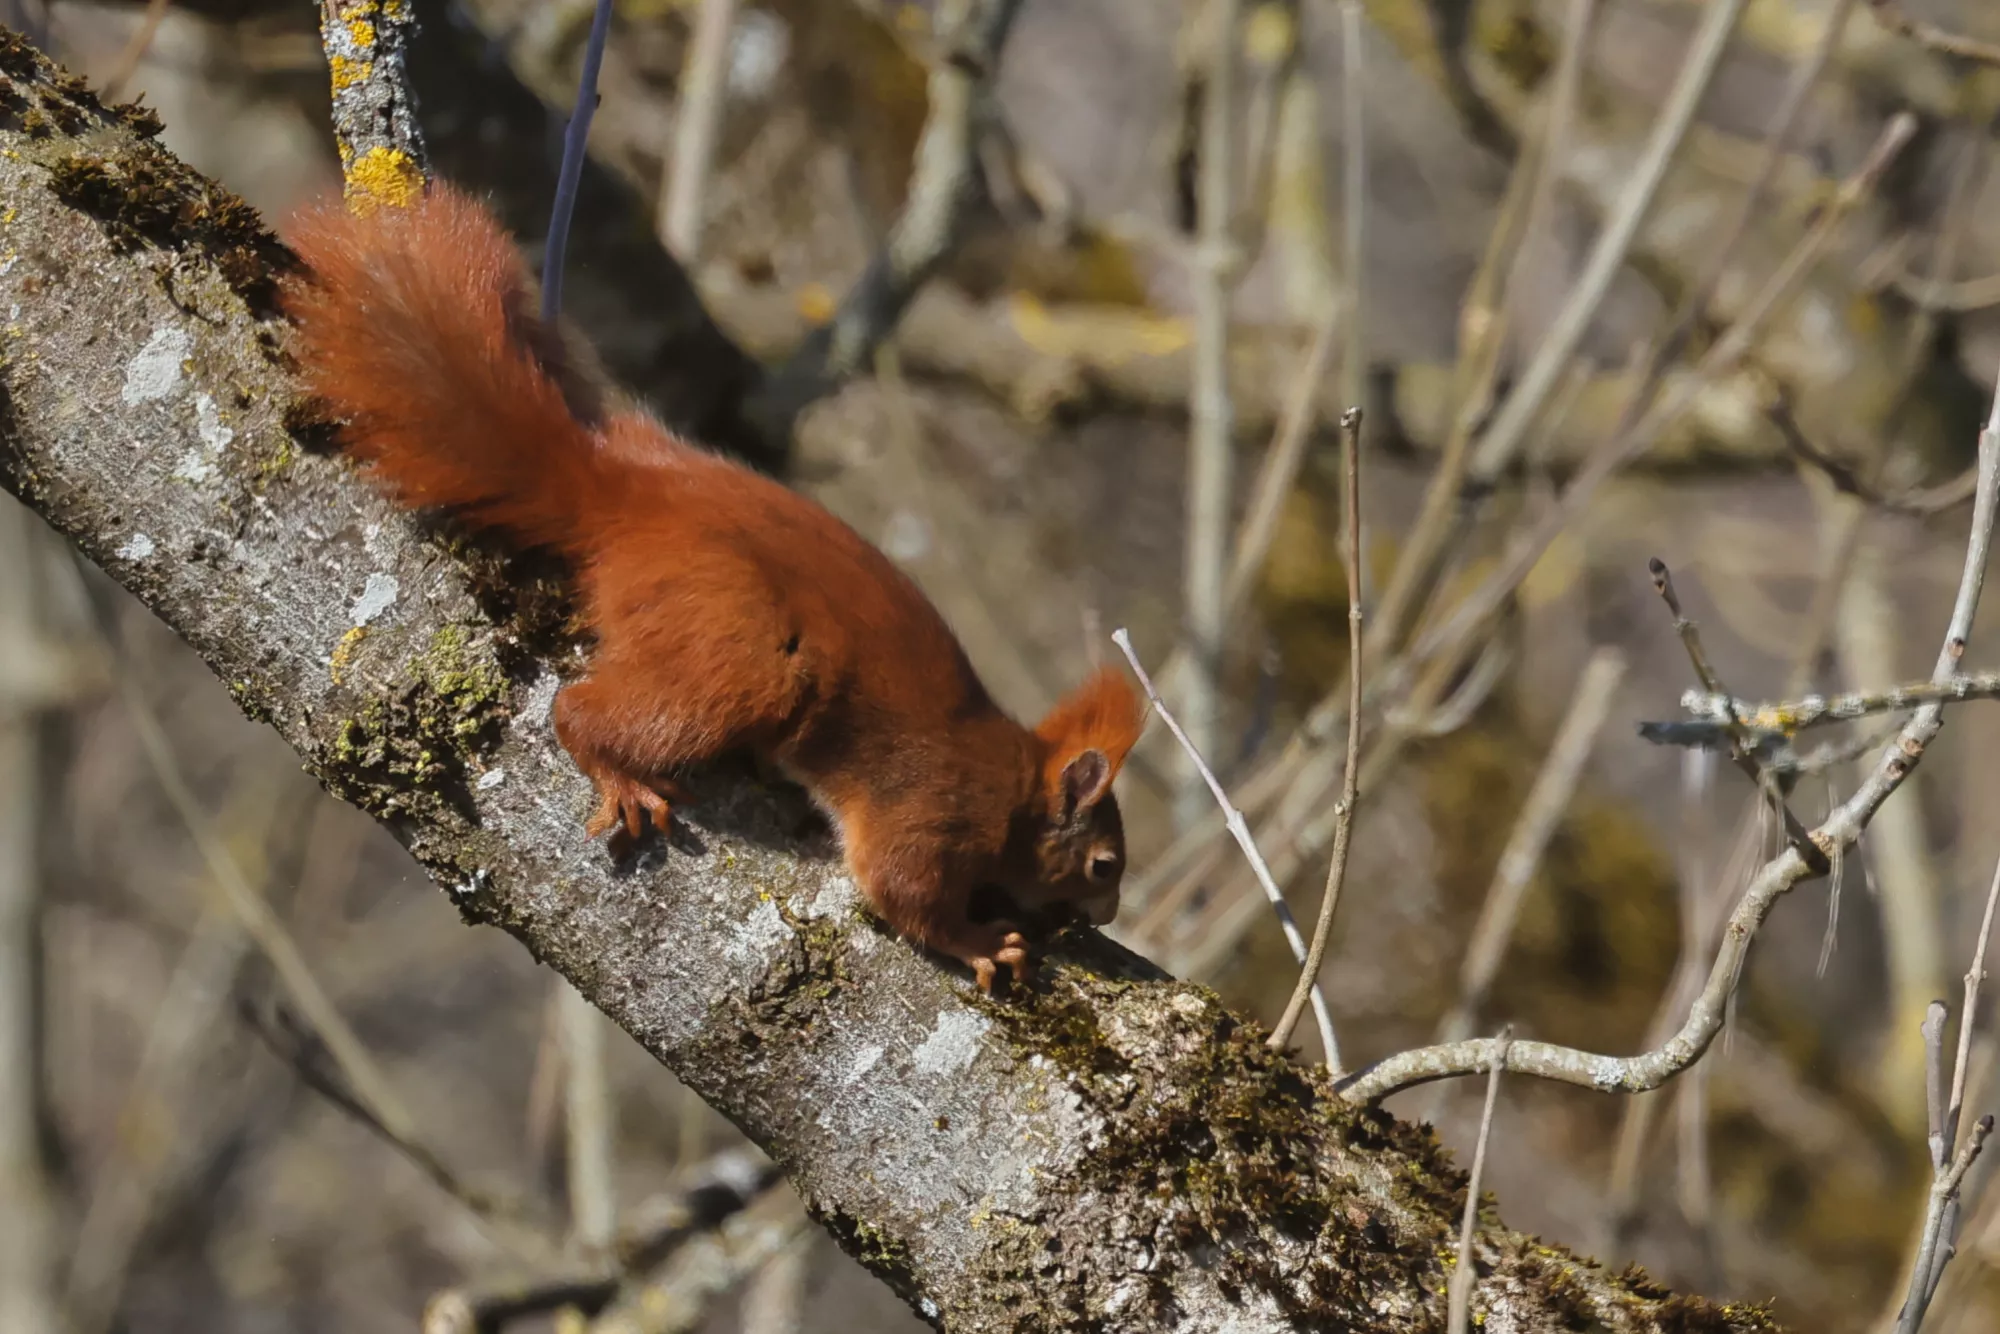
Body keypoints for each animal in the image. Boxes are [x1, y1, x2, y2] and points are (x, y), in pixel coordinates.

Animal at [279, 183, 1144, 993]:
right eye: (1103, 865)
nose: (1105, 913)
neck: (1017, 784)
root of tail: (625, 504)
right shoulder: (939, 810)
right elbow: (900, 891)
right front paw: (982, 943)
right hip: (740, 652)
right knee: (583, 711)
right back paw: (619, 772)